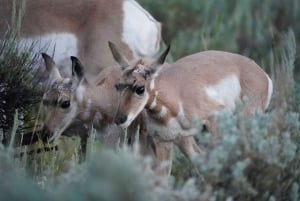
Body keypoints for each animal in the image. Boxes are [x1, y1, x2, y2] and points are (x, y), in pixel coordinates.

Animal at [111, 43, 274, 167]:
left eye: (140, 88)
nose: (119, 119)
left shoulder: (213, 121)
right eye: (117, 85)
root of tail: (262, 73)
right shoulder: (167, 141)